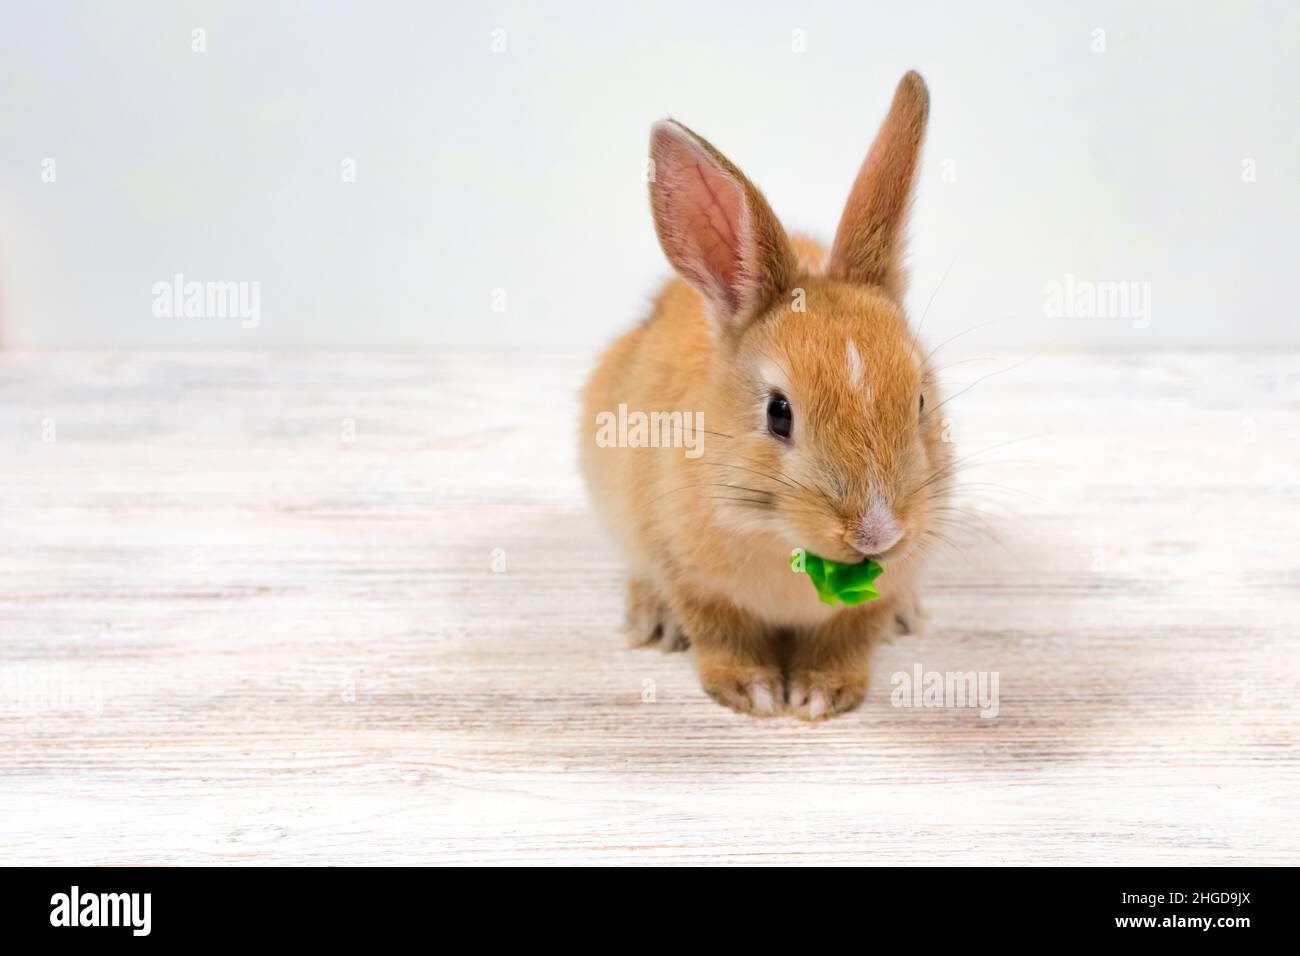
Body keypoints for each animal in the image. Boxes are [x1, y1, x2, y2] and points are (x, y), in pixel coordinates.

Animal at [585, 72, 951, 717]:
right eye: (778, 414)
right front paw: (753, 692)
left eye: (921, 402)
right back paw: (652, 620)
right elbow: (719, 633)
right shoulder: (688, 573)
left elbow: (851, 637)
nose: (877, 534)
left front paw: (818, 694)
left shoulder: (871, 602)